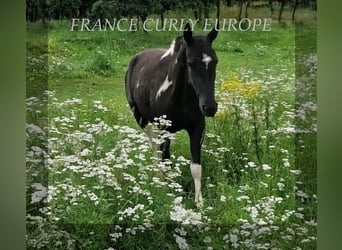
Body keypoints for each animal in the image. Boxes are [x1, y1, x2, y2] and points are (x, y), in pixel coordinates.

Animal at [125, 23, 219, 207]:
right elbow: (165, 159)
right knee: (154, 146)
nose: (210, 107)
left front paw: (199, 202)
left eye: (215, 61)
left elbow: (196, 167)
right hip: (142, 119)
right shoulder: (164, 128)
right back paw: (158, 176)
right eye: (190, 63)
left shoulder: (197, 129)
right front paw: (167, 191)